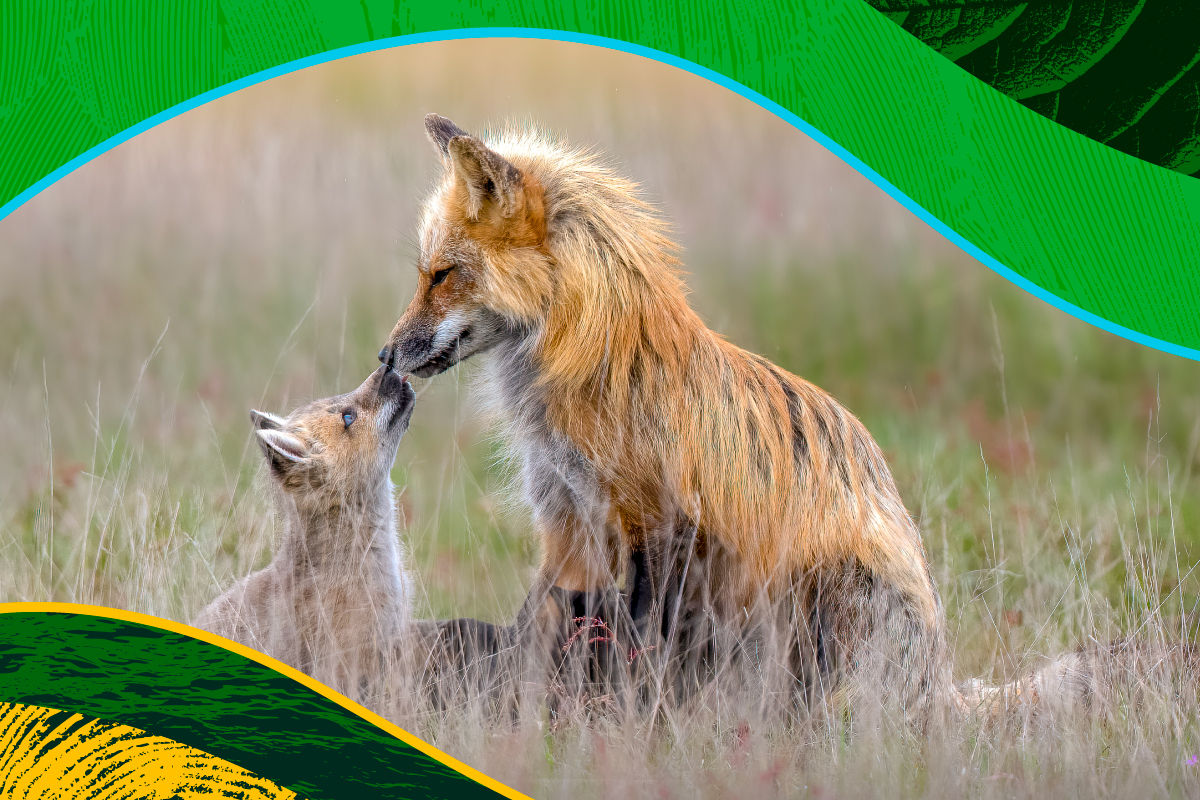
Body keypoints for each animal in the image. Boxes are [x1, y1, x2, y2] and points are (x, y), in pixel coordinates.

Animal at [378, 114, 952, 723]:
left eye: (442, 275)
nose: (385, 356)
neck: (595, 367)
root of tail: (942, 683)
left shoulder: (654, 524)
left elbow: (641, 646)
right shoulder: (568, 521)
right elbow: (534, 628)